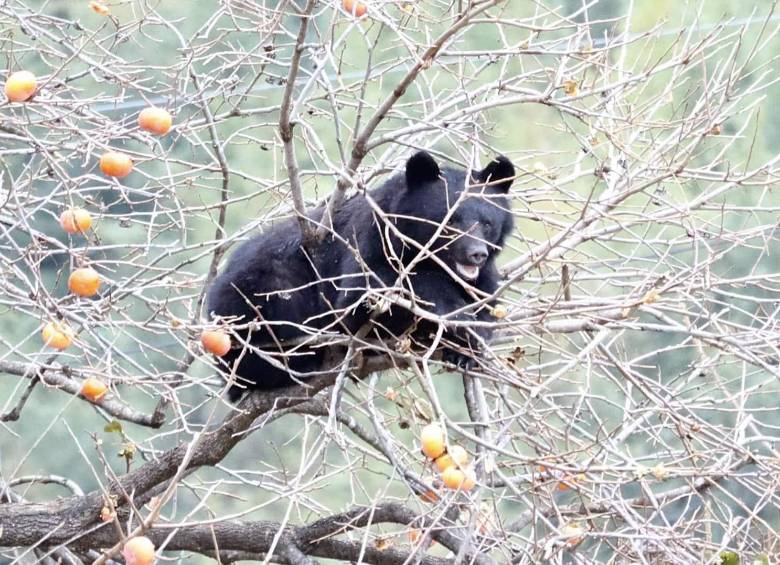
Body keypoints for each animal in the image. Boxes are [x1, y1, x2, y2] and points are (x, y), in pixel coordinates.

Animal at [207, 151, 515, 400]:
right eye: (450, 221)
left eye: (487, 223)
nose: (476, 254)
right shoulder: (370, 240)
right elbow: (361, 296)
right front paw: (458, 316)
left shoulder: (483, 278)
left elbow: (487, 303)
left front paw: (467, 346)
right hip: (258, 293)